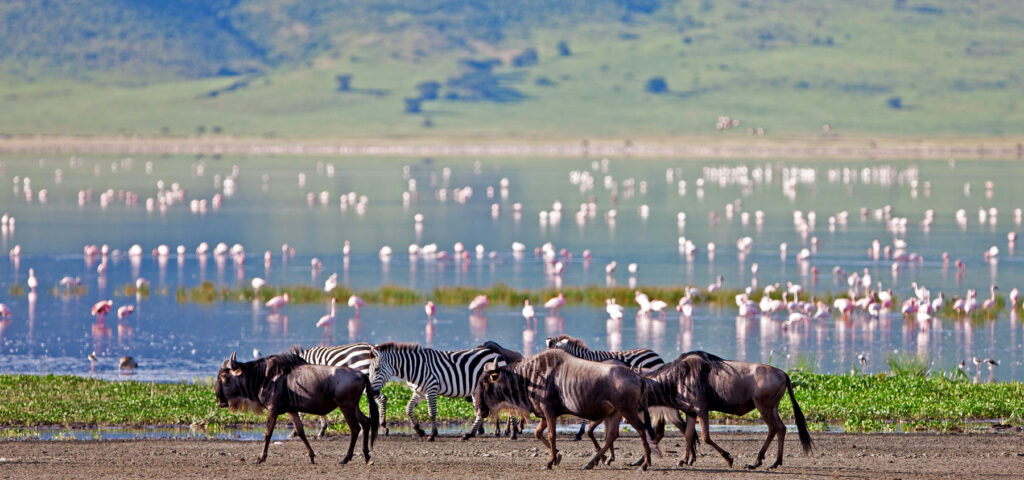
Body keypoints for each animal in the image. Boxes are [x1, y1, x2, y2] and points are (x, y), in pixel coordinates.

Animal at [371, 341, 505, 441]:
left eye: (377, 369)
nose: (372, 392)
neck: (414, 367)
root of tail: (495, 353)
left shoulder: (431, 388)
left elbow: (432, 412)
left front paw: (433, 434)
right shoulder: (419, 392)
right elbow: (408, 409)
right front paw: (419, 430)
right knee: (482, 411)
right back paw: (470, 434)